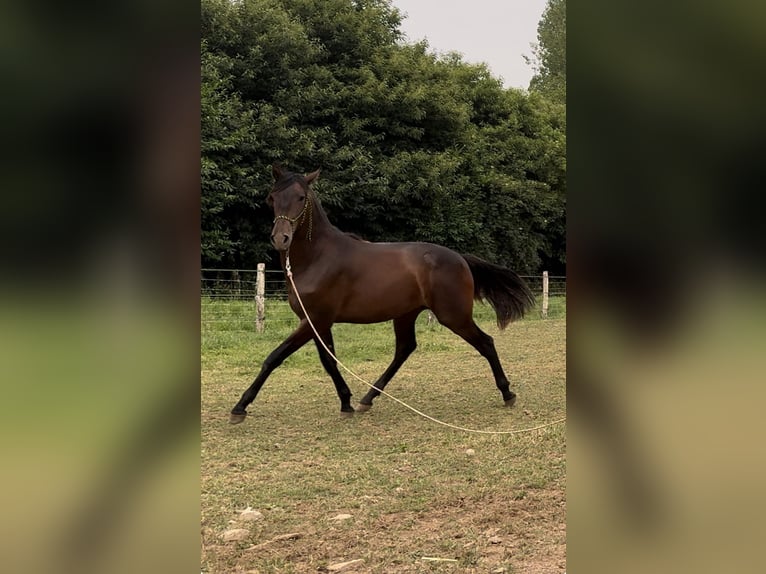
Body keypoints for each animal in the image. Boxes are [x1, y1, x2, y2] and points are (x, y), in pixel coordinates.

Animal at [229, 165, 535, 424]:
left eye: (301, 197)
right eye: (272, 198)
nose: (280, 239)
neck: (317, 258)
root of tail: (459, 258)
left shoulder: (314, 320)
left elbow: (275, 357)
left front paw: (240, 407)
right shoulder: (318, 323)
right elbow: (329, 361)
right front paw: (347, 402)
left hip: (454, 316)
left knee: (486, 343)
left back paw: (507, 394)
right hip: (406, 315)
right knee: (404, 349)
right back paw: (368, 398)